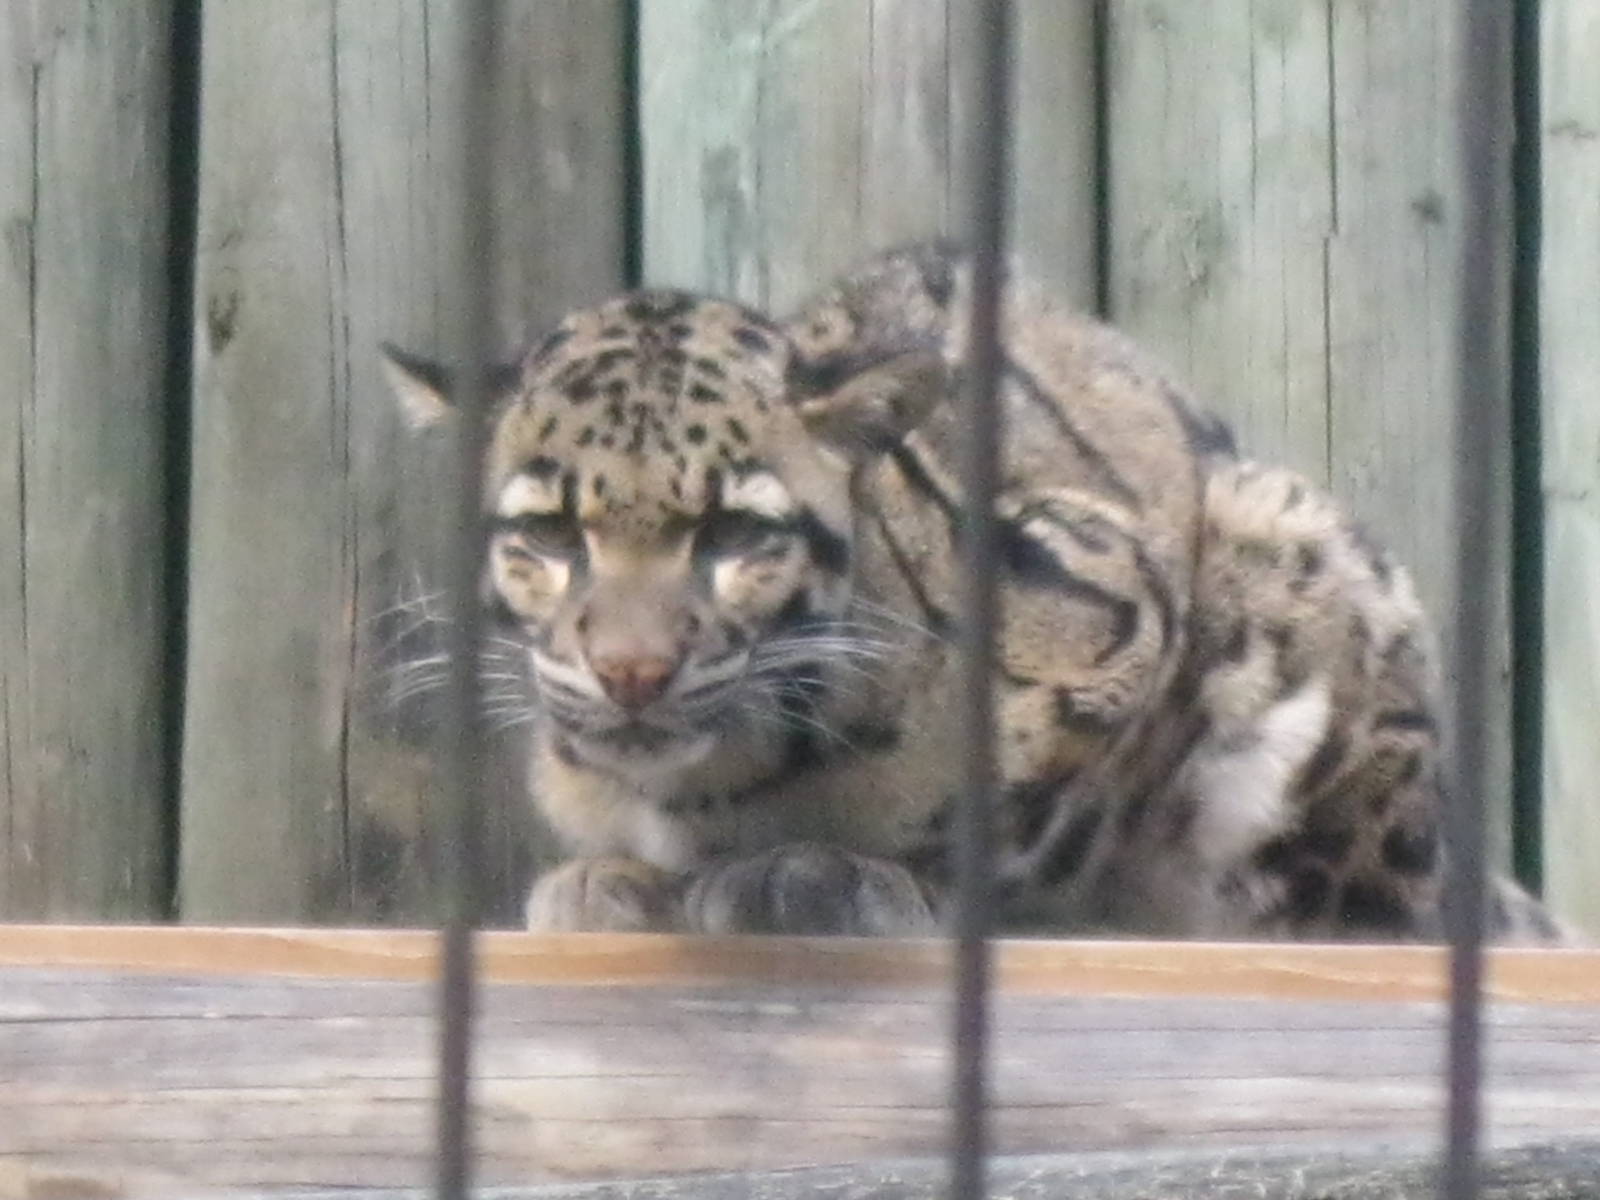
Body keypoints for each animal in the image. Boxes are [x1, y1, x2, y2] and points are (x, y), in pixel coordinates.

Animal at [381, 243, 1563, 943]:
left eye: (733, 534)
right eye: (548, 535)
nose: (630, 672)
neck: (714, 782)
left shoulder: (1109, 618)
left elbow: (1004, 821)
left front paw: (838, 877)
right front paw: (613, 881)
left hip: (1298, 562)